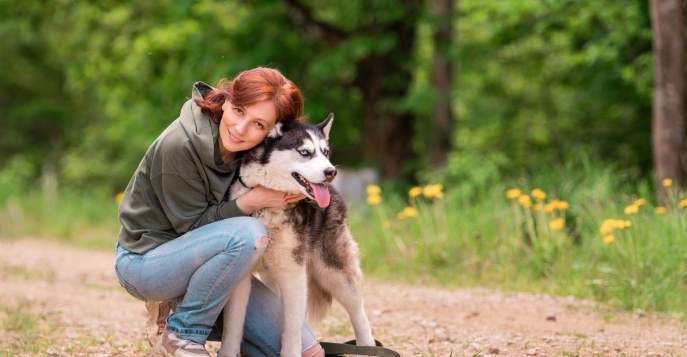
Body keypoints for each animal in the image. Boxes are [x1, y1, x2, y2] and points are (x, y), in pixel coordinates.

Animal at [218, 112, 374, 354]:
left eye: (325, 152)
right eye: (304, 152)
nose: (331, 172)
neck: (266, 211)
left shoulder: (293, 275)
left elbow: (291, 330)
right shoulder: (241, 280)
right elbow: (232, 328)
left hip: (337, 275)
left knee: (360, 316)